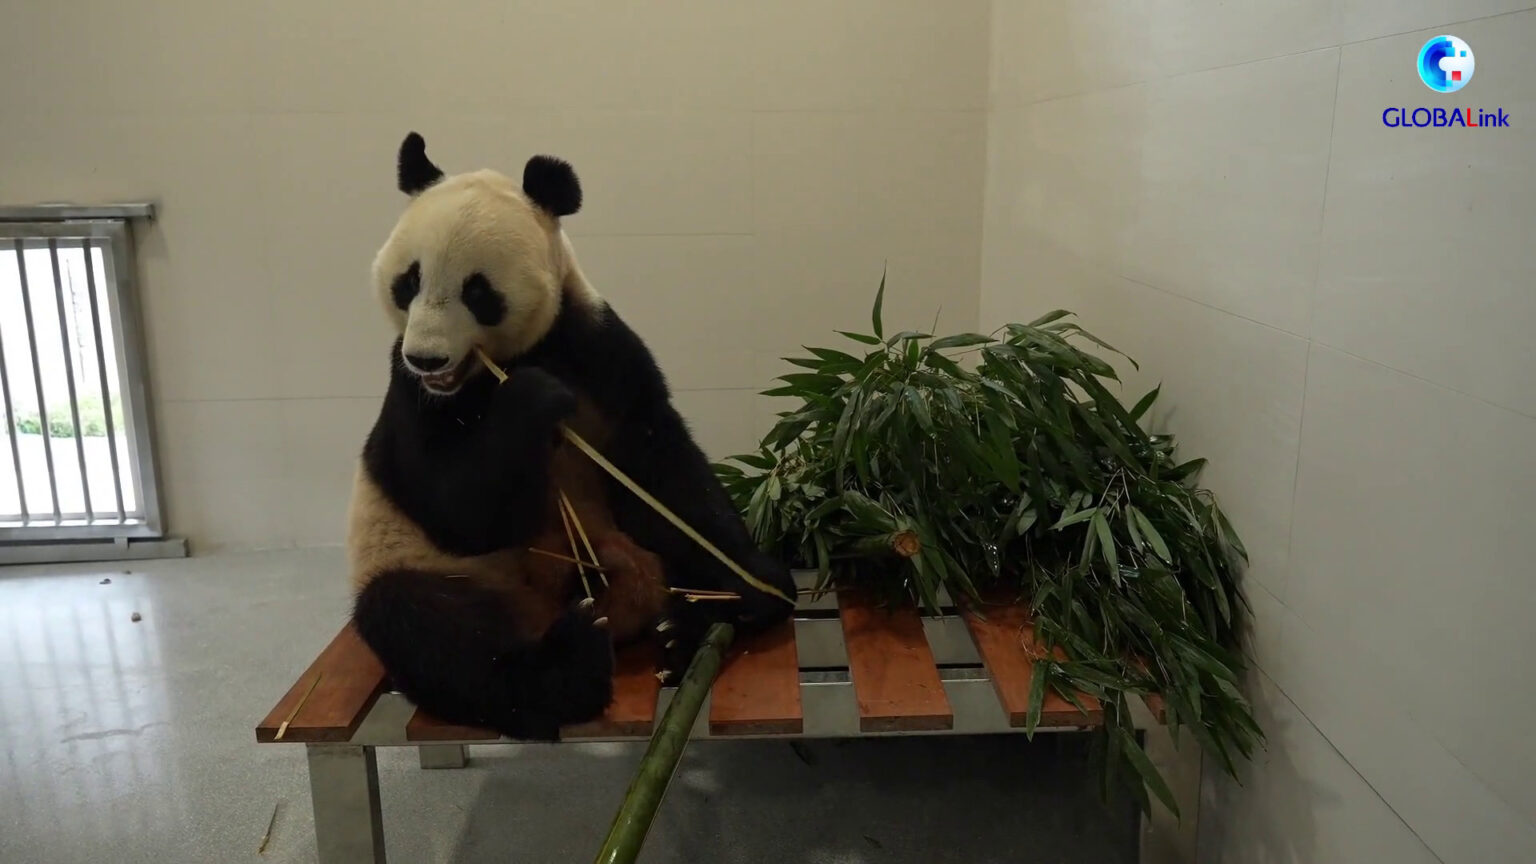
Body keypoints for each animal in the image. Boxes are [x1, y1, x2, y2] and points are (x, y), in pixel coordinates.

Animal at [346, 132, 797, 741]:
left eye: (477, 291)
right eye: (409, 281)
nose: (429, 357)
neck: (503, 364)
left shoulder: (597, 347)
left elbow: (661, 466)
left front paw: (752, 579)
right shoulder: (409, 397)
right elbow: (455, 510)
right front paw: (533, 399)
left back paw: (686, 626)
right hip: (429, 566)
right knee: (426, 626)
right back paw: (571, 661)